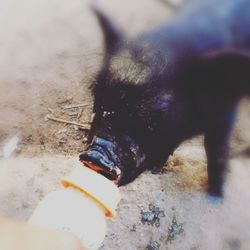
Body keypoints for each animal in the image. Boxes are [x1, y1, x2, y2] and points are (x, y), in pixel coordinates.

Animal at [80, 0, 250, 198]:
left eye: (161, 110)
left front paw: (215, 197)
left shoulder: (225, 111)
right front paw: (156, 169)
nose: (95, 156)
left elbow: (216, 151)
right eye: (98, 95)